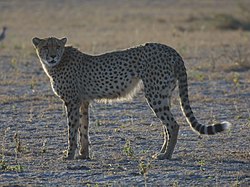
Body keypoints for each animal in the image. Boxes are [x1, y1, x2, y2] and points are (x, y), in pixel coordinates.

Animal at [32, 37, 231, 160]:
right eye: (45, 47)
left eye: (57, 46)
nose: (52, 56)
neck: (58, 63)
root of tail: (170, 49)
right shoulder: (83, 102)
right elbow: (84, 129)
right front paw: (83, 155)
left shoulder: (72, 102)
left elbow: (72, 131)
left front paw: (70, 155)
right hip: (163, 94)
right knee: (167, 126)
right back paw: (161, 153)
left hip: (154, 94)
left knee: (173, 125)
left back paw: (166, 156)